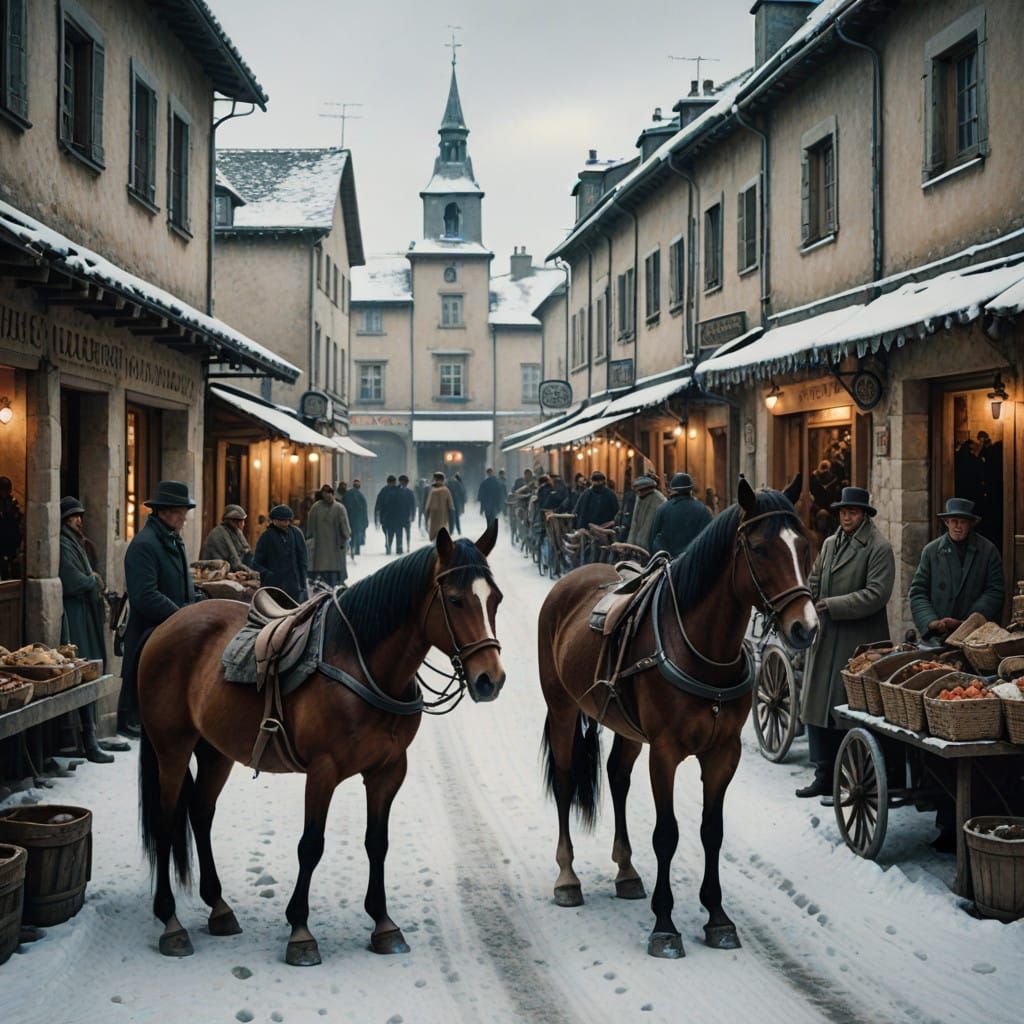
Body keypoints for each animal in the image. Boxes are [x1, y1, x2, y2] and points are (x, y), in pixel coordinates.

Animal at [137, 524, 505, 966]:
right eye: (455, 600)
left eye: (495, 599)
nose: (490, 679)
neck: (363, 663)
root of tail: (168, 623)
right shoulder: (323, 771)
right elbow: (311, 845)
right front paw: (300, 930)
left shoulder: (388, 770)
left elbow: (377, 843)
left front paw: (383, 924)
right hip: (171, 748)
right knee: (165, 820)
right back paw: (170, 921)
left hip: (215, 751)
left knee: (200, 813)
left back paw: (219, 907)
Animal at [537, 478, 818, 958]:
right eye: (760, 548)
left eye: (803, 545)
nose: (805, 627)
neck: (705, 650)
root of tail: (570, 581)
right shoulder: (664, 752)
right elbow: (666, 834)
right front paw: (664, 925)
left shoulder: (724, 753)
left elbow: (711, 831)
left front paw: (718, 917)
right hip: (561, 707)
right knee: (565, 780)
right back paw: (567, 878)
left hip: (626, 727)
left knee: (617, 777)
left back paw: (627, 872)